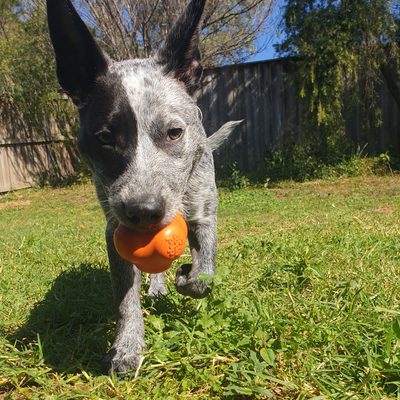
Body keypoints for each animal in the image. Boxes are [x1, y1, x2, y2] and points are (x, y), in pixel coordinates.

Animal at [47, 0, 241, 378]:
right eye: (105, 138)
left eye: (174, 132)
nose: (144, 211)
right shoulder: (114, 230)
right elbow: (125, 299)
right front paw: (126, 347)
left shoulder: (204, 216)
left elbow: (204, 275)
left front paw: (188, 277)